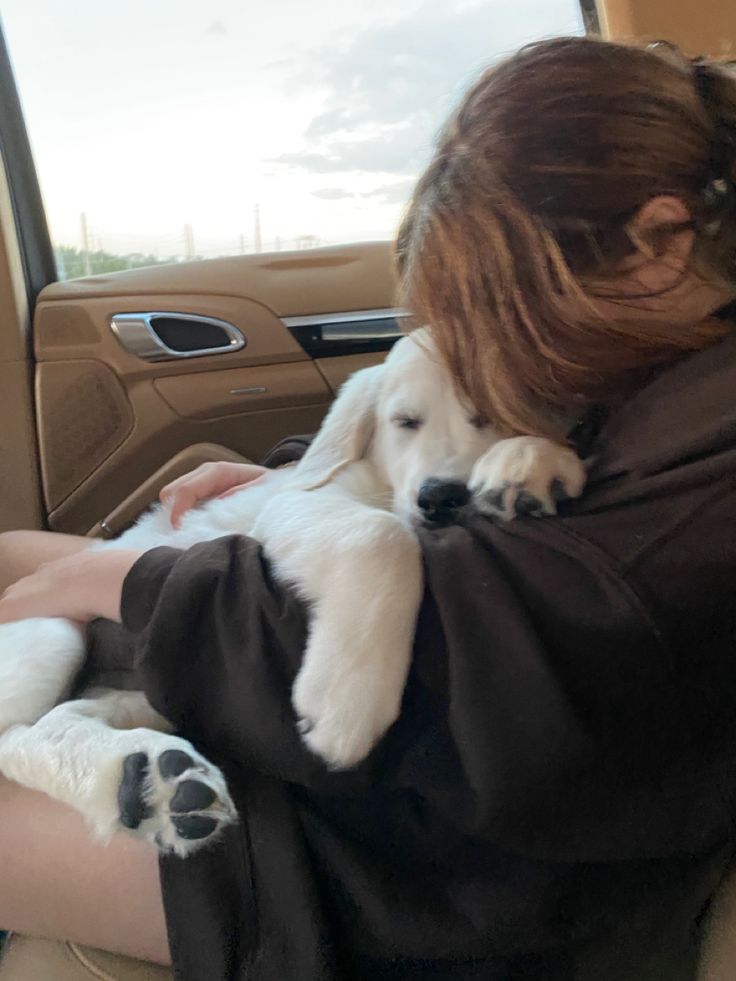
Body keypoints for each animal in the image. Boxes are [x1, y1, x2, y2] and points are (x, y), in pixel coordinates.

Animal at [0, 330, 584, 848]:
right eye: (405, 423)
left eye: (486, 415)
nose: (440, 497)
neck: (383, 481)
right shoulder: (297, 506)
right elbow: (382, 533)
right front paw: (348, 700)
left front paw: (530, 462)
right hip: (53, 633)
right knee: (16, 739)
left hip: (147, 689)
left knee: (60, 720)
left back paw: (149, 782)